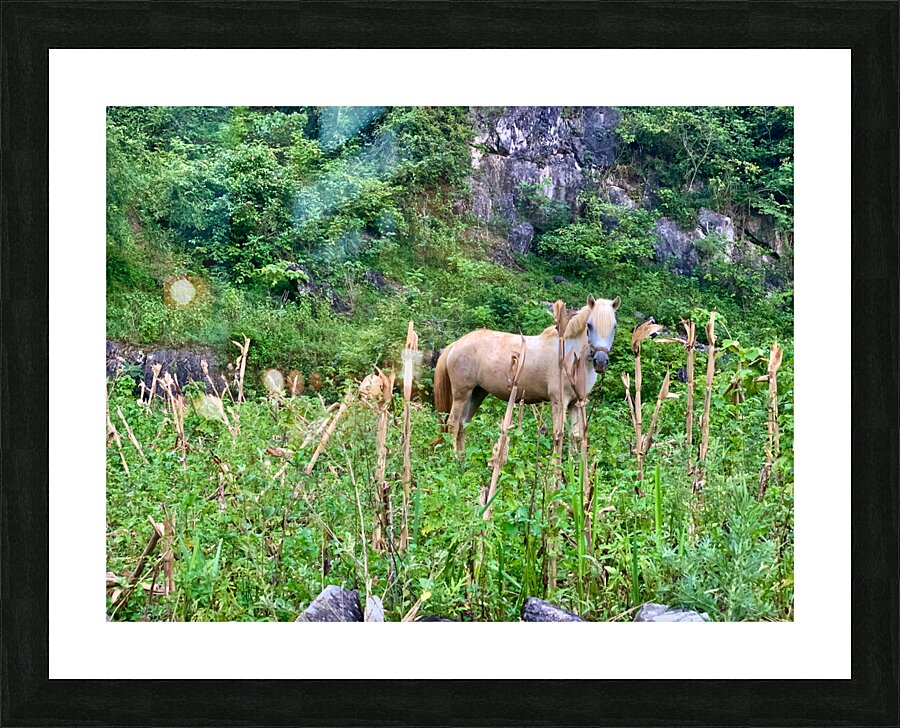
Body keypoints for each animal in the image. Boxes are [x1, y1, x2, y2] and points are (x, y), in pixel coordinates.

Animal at [434, 295, 620, 453]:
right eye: (589, 325)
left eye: (614, 326)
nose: (601, 361)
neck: (569, 355)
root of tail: (456, 344)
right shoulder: (559, 402)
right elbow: (558, 436)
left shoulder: (576, 403)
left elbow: (575, 437)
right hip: (462, 393)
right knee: (453, 423)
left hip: (477, 393)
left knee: (463, 424)